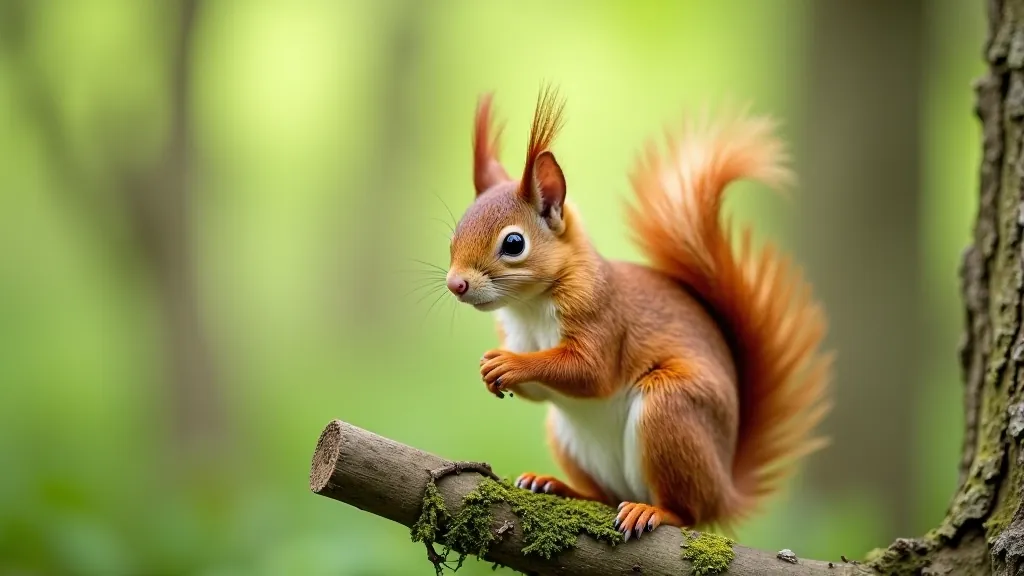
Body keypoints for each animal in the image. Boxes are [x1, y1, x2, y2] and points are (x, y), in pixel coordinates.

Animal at [443, 85, 833, 540]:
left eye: (513, 243)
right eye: (455, 235)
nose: (455, 284)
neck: (530, 307)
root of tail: (725, 490)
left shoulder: (602, 317)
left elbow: (589, 372)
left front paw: (509, 364)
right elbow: (543, 390)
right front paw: (491, 369)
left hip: (670, 410)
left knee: (687, 511)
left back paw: (652, 511)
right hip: (568, 437)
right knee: (604, 495)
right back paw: (558, 486)